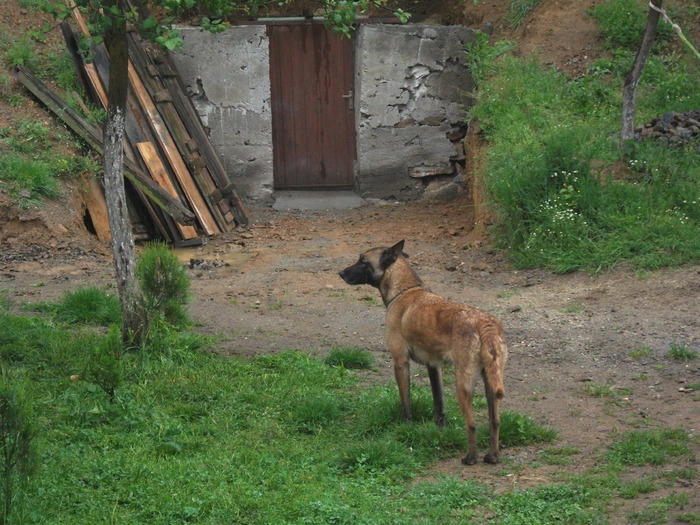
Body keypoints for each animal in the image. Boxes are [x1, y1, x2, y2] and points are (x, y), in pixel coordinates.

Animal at [340, 238, 508, 462]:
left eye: (363, 261)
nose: (341, 273)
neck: (405, 289)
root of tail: (485, 324)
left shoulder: (400, 362)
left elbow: (406, 401)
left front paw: (407, 425)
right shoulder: (433, 366)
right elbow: (439, 403)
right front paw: (440, 428)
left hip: (464, 384)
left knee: (471, 424)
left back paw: (470, 458)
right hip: (491, 383)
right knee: (494, 421)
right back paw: (492, 456)